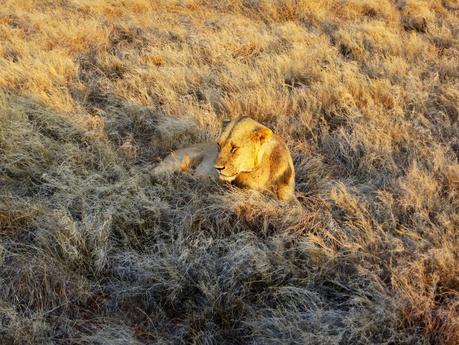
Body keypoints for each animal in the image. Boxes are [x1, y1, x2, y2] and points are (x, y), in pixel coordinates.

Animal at [153, 117, 296, 200]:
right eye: (219, 145)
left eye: (234, 148)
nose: (217, 168)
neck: (262, 169)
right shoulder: (239, 189)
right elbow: (255, 195)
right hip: (181, 159)